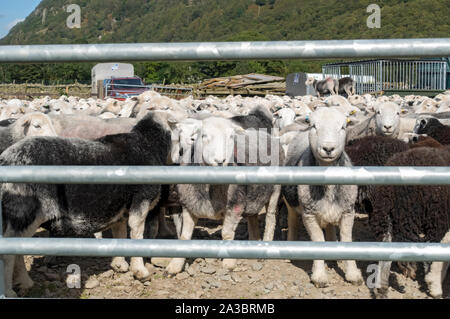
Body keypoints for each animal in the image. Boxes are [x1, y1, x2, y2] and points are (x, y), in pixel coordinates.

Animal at [0, 112, 173, 298]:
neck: (148, 144)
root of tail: (6, 160)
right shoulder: (141, 199)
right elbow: (136, 232)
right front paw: (140, 271)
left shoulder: (120, 206)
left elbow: (120, 232)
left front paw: (120, 265)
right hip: (25, 213)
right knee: (9, 252)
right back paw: (11, 290)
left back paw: (24, 282)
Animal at [282, 107, 362, 288]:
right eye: (314, 126)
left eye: (342, 127)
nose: (328, 148)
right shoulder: (309, 214)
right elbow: (318, 241)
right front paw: (319, 276)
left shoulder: (348, 211)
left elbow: (346, 239)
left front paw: (353, 274)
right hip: (290, 203)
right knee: (292, 220)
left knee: (330, 227)